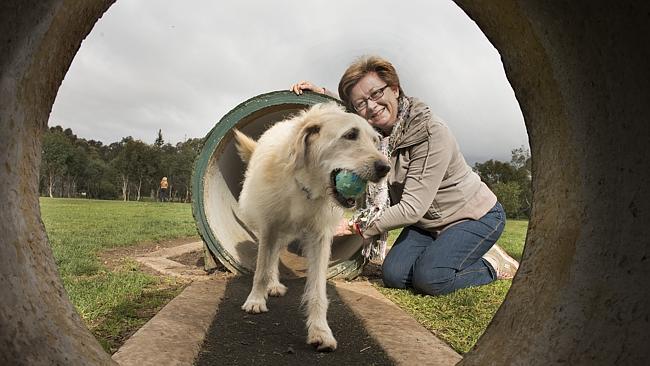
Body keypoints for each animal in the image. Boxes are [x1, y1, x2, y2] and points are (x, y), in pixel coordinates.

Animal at [233, 101, 388, 350]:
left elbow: (317, 289)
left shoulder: (319, 237)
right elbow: (261, 269)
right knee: (270, 257)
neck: (305, 185)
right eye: (350, 135)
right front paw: (255, 299)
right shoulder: (269, 227)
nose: (386, 168)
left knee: (275, 255)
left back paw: (274, 285)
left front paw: (320, 331)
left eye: (375, 141)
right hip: (273, 229)